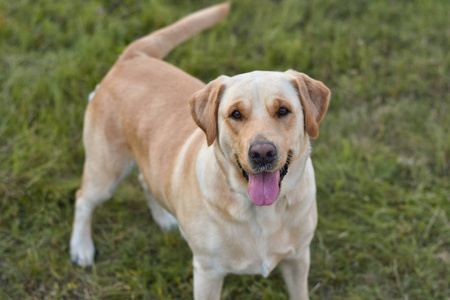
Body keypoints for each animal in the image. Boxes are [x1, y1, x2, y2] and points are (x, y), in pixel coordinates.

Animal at [70, 2, 330, 300]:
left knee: (145, 180)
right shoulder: (208, 272)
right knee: (83, 199)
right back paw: (81, 248)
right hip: (106, 171)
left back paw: (164, 218)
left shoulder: (298, 258)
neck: (260, 211)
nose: (262, 153)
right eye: (236, 114)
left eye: (283, 110)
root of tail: (132, 56)